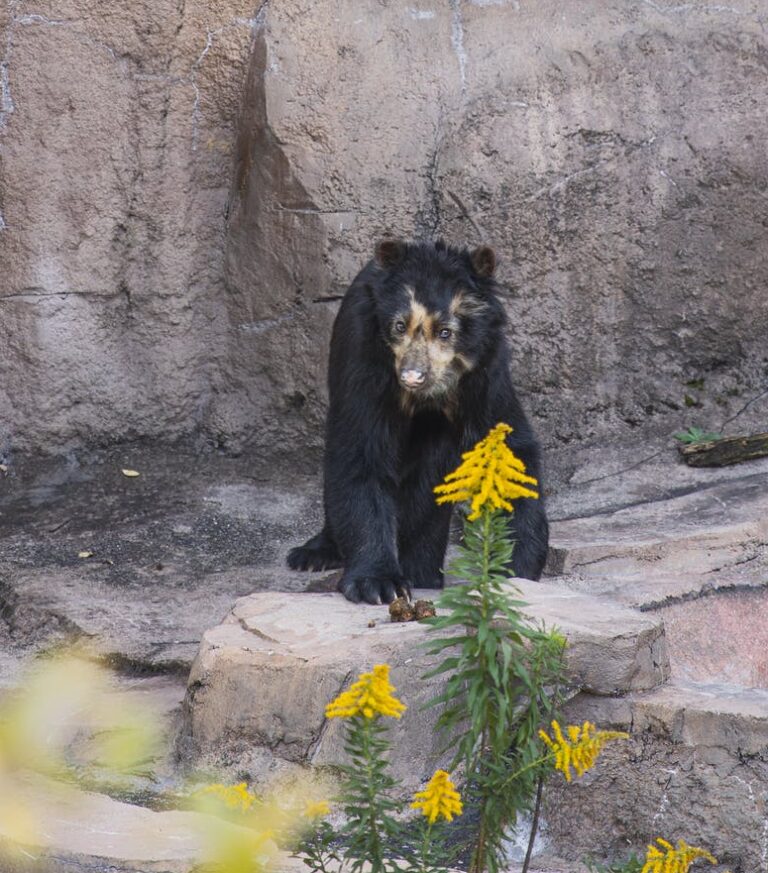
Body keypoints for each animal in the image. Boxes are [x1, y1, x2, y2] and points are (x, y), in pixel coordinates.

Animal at [287, 239, 548, 605]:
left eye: (445, 332)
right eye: (399, 326)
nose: (412, 375)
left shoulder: (485, 373)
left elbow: (510, 451)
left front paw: (516, 564)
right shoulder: (365, 361)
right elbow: (360, 453)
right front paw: (379, 584)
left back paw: (424, 573)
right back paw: (313, 554)